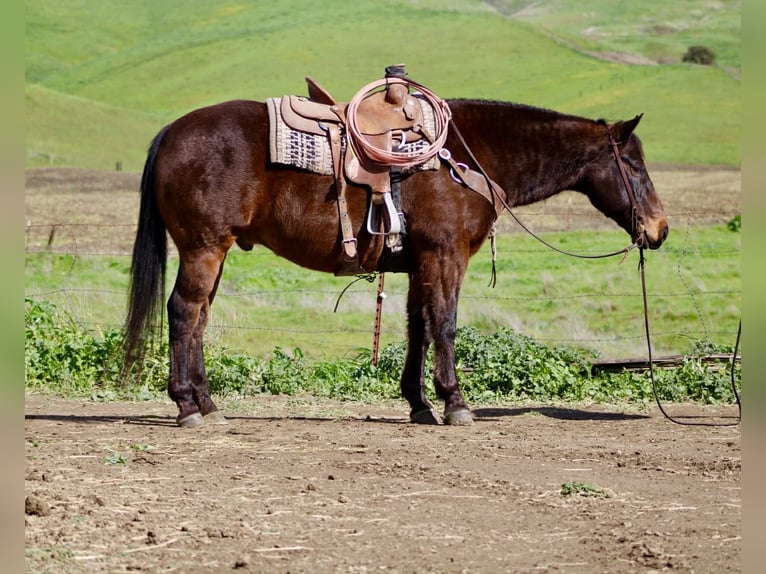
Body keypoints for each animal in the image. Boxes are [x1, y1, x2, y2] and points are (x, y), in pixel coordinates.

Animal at [123, 95, 668, 428]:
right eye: (634, 164)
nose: (659, 229)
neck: (467, 155)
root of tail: (173, 132)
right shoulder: (446, 256)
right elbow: (445, 323)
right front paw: (455, 402)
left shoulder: (419, 263)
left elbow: (419, 328)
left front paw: (420, 403)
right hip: (203, 248)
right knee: (183, 312)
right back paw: (186, 405)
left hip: (215, 253)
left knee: (198, 318)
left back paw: (207, 402)